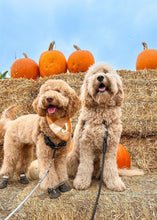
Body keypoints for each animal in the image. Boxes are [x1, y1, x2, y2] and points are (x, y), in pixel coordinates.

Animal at [66, 61, 129, 191]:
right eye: (94, 74)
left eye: (106, 72)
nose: (100, 77)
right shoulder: (86, 145)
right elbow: (85, 167)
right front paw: (81, 182)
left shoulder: (110, 147)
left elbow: (110, 167)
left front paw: (115, 183)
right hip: (72, 157)